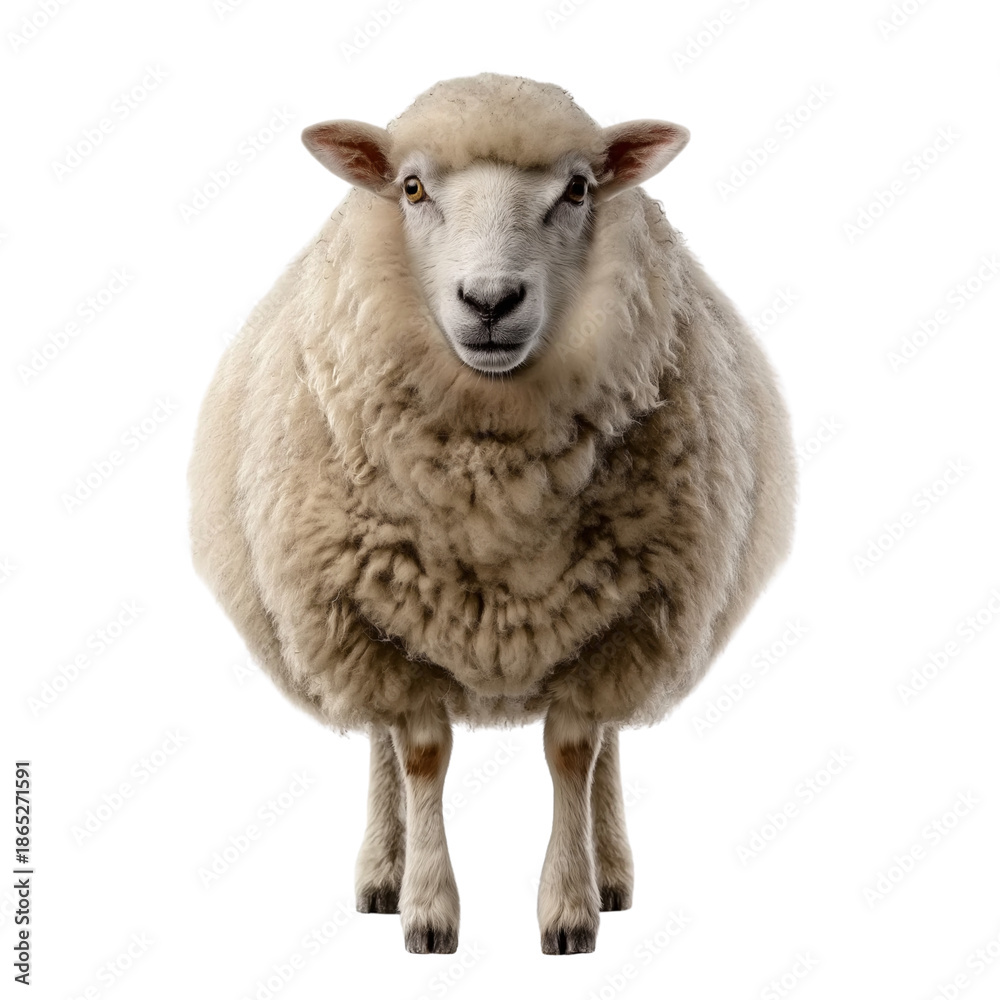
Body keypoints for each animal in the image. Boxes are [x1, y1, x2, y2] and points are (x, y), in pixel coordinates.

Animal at [188, 72, 796, 956]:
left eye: (578, 190)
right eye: (411, 188)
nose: (491, 300)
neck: (494, 486)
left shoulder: (628, 620)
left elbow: (575, 751)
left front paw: (571, 907)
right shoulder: (369, 623)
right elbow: (420, 755)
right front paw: (427, 909)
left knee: (610, 744)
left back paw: (612, 871)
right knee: (379, 744)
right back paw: (383, 871)